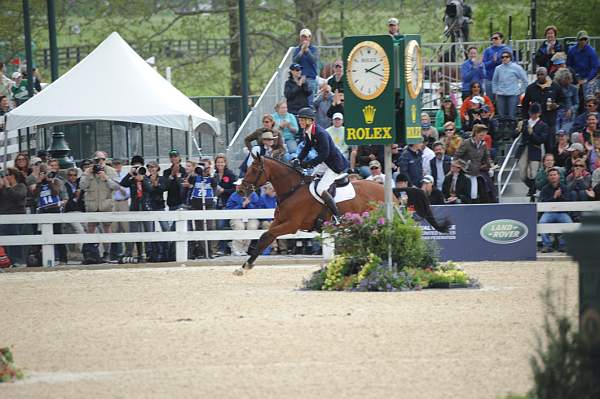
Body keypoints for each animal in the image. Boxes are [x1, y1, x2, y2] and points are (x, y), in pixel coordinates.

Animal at [234, 153, 450, 276]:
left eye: (254, 169)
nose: (240, 190)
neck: (293, 189)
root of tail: (390, 190)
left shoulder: (291, 225)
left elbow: (267, 236)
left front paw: (244, 267)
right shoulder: (279, 221)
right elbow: (264, 238)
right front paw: (245, 265)